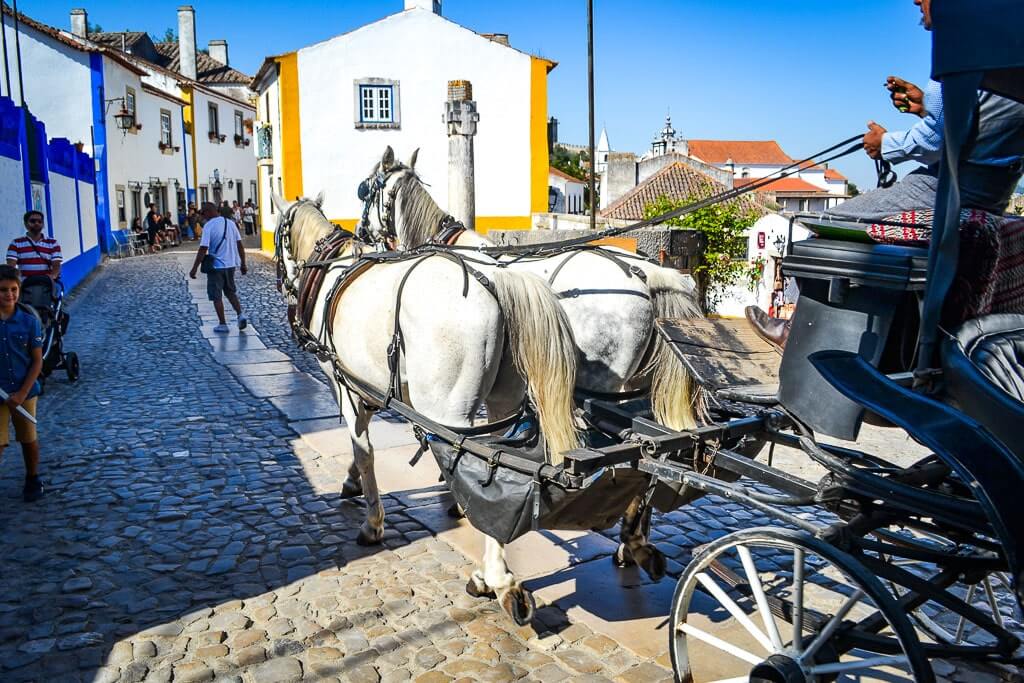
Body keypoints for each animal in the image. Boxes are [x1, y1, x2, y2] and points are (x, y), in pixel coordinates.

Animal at [272, 189, 581, 622]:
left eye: (279, 238)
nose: (282, 284)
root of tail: (498, 280)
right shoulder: (367, 386)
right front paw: (352, 482)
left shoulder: (342, 381)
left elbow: (363, 448)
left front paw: (373, 522)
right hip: (502, 403)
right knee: (498, 468)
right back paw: (496, 574)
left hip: (448, 408)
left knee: (474, 471)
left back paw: (495, 579)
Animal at [356, 148, 708, 577]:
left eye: (364, 190)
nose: (360, 236)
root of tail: (651, 275)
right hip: (638, 393)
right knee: (652, 452)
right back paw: (634, 542)